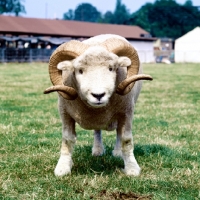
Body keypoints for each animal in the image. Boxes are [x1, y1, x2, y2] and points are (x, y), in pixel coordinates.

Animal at [44, 34, 153, 177]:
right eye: (80, 70)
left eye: (111, 68)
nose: (98, 95)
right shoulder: (65, 113)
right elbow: (67, 139)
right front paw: (63, 167)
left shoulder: (127, 112)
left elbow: (126, 139)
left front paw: (132, 168)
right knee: (97, 131)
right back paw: (97, 150)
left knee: (118, 133)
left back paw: (117, 152)